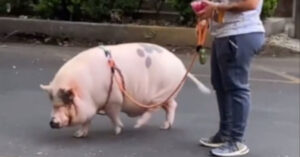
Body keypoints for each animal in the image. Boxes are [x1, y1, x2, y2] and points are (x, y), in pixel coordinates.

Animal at [39, 42, 210, 137]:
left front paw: (117, 131)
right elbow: (87, 120)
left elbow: (113, 116)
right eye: (53, 104)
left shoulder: (114, 100)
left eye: (66, 103)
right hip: (167, 95)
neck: (86, 90)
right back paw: (164, 127)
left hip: (161, 93)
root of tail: (182, 68)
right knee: (172, 105)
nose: (52, 122)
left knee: (154, 109)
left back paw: (137, 126)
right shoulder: (92, 105)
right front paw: (78, 135)